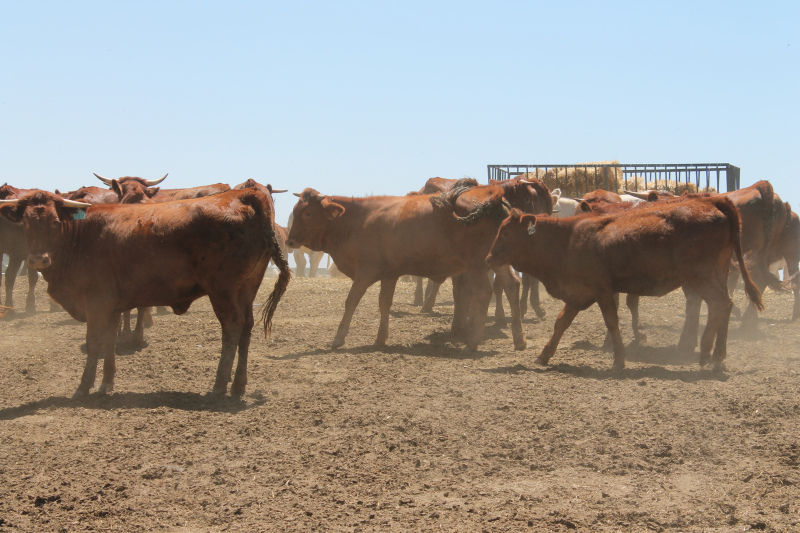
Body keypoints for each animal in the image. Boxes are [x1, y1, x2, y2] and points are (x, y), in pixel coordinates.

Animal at [0, 189, 290, 396]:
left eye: (55, 221)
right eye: (25, 223)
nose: (38, 260)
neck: (81, 236)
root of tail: (242, 194)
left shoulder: (96, 302)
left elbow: (94, 342)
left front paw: (83, 386)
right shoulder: (112, 305)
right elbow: (109, 343)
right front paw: (107, 383)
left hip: (222, 290)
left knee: (232, 327)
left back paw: (220, 384)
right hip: (246, 288)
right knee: (247, 327)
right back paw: (239, 384)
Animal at [484, 194, 764, 370]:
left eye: (505, 233)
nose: (488, 258)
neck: (568, 239)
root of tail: (716, 202)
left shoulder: (601, 290)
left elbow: (611, 322)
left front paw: (619, 359)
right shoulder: (579, 293)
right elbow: (561, 322)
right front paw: (544, 355)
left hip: (701, 276)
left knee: (719, 304)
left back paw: (706, 353)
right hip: (718, 273)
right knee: (726, 305)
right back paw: (718, 356)